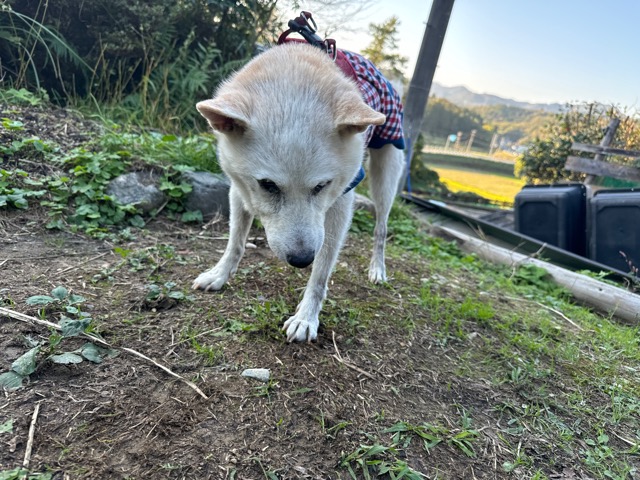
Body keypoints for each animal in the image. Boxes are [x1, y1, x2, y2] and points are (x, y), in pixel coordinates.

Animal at [193, 39, 406, 343]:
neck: (295, 71)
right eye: (268, 185)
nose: (302, 260)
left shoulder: (340, 202)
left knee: (381, 228)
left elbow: (321, 274)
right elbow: (235, 243)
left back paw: (377, 268)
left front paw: (306, 318)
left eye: (321, 186)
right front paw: (219, 275)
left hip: (385, 175)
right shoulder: (240, 190)